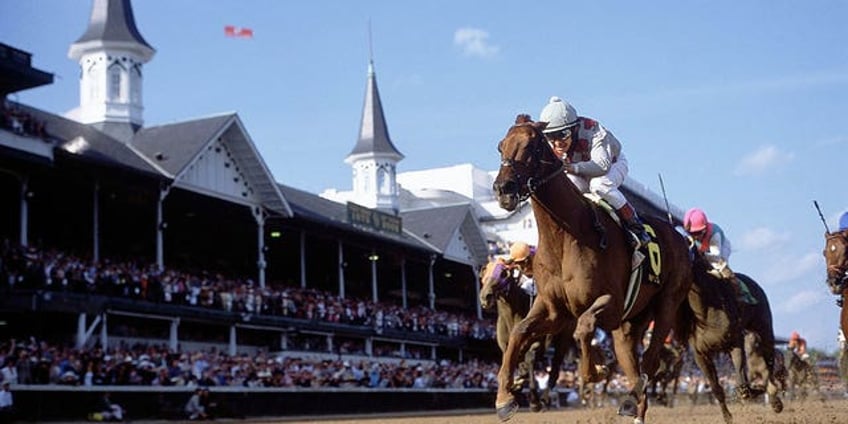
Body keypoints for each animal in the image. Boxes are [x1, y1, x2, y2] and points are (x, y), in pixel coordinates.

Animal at [480, 256, 572, 412]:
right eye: (484, 272)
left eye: (503, 273)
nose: (485, 297)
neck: (511, 316)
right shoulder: (506, 346)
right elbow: (512, 361)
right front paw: (514, 385)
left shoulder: (537, 341)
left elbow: (529, 359)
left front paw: (534, 401)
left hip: (564, 338)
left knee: (554, 370)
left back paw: (544, 399)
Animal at [490, 117, 696, 422]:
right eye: (501, 146)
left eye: (532, 144)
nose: (503, 188)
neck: (566, 236)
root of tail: (680, 236)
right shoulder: (554, 311)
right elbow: (519, 332)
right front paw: (505, 398)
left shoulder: (610, 304)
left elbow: (585, 327)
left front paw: (595, 370)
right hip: (629, 325)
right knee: (633, 363)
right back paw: (633, 406)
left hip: (667, 304)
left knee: (650, 359)